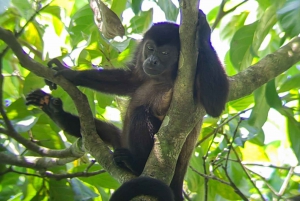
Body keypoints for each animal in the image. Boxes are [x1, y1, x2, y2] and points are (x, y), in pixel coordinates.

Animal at [26, 10, 227, 201]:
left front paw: (204, 33)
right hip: (119, 141)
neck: (163, 77)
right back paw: (55, 112)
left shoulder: (195, 70)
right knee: (105, 131)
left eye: (165, 53)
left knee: (140, 114)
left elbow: (214, 105)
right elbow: (127, 80)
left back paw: (136, 165)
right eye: (150, 48)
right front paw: (68, 73)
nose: (152, 60)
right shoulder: (139, 71)